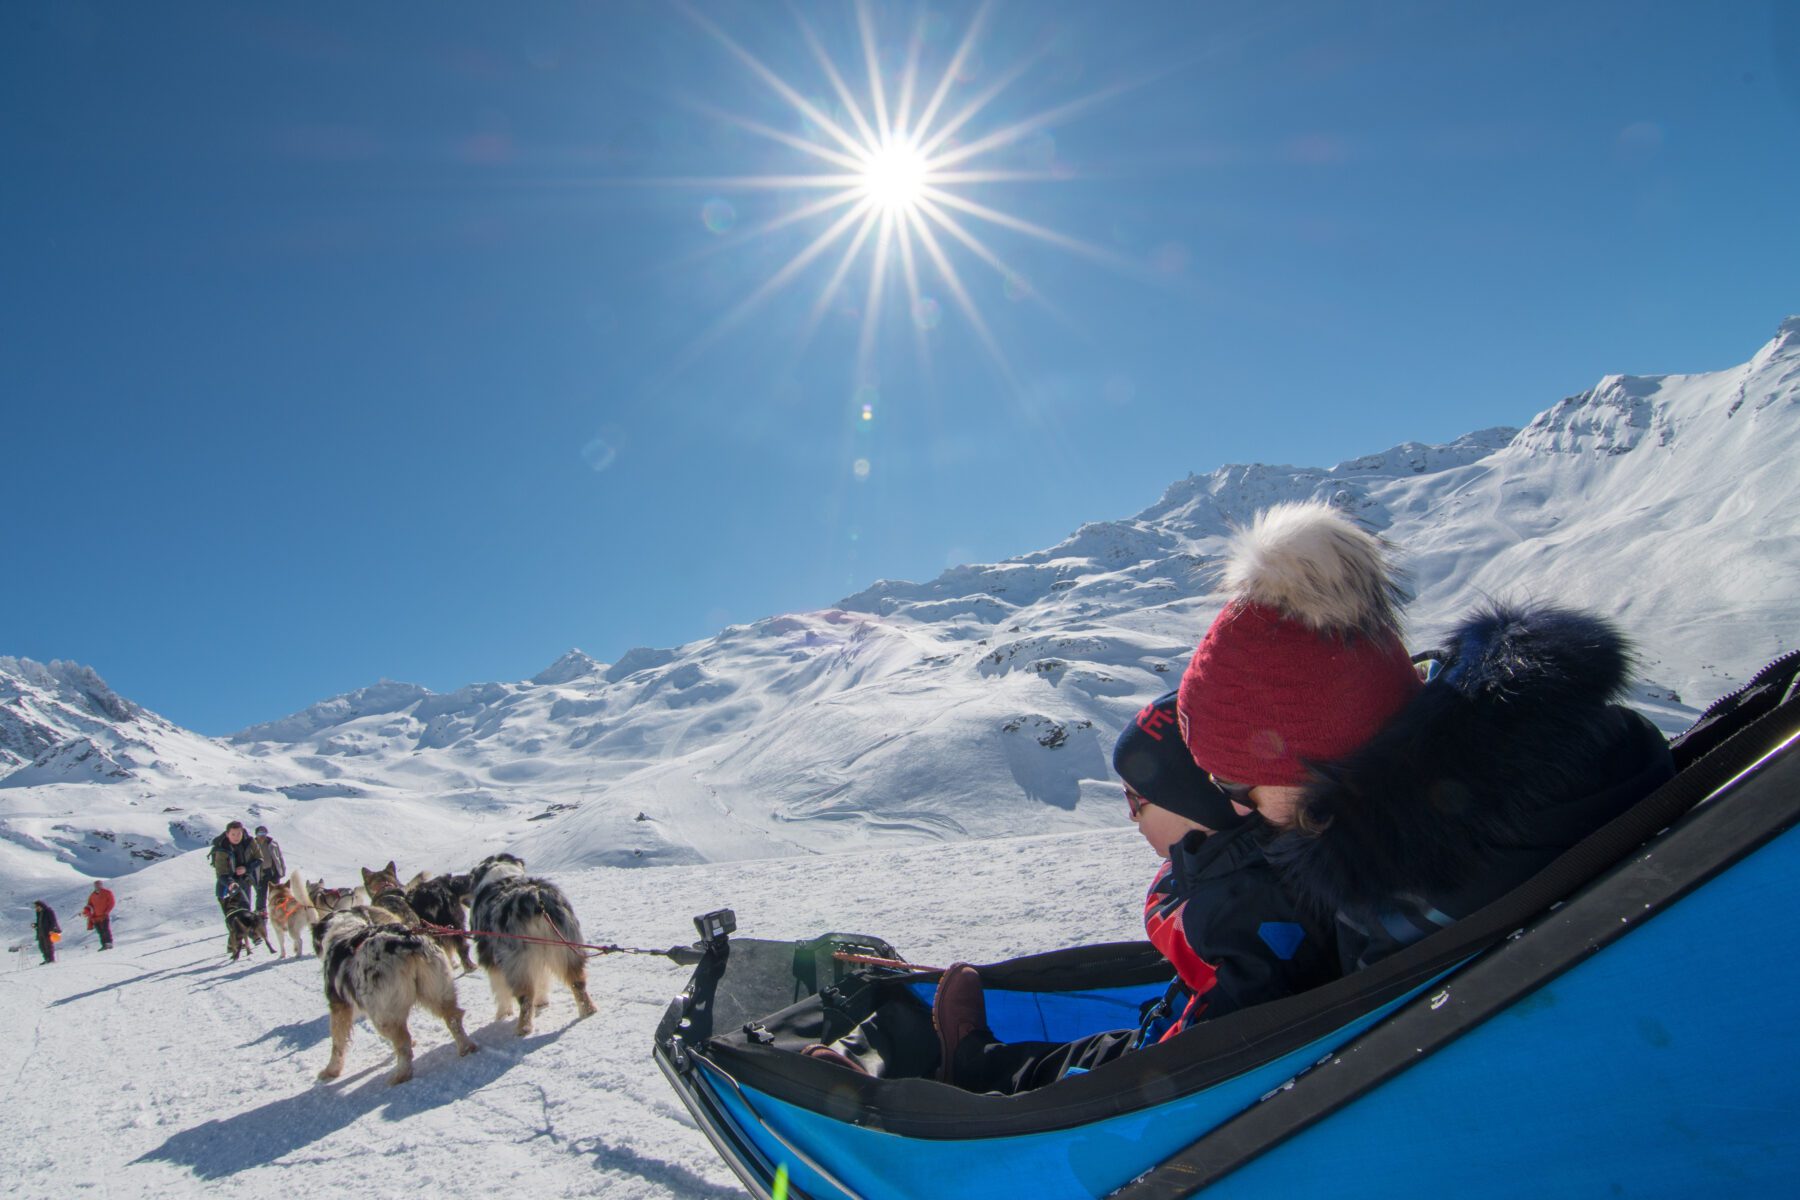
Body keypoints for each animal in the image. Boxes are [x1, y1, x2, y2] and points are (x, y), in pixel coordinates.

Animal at [309, 910, 478, 1086]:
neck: (345, 929)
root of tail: (408, 941)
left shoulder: (339, 1007)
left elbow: (337, 1042)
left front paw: (330, 1071)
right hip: (438, 990)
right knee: (453, 1018)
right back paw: (466, 1047)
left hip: (383, 1014)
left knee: (403, 1042)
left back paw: (401, 1075)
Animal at [471, 852, 597, 1036]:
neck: (502, 874)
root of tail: (535, 899)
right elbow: (542, 979)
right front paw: (542, 1002)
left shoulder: (491, 959)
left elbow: (500, 990)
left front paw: (502, 1015)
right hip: (566, 946)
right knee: (577, 981)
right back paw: (588, 1010)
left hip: (517, 960)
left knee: (525, 996)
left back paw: (523, 1028)